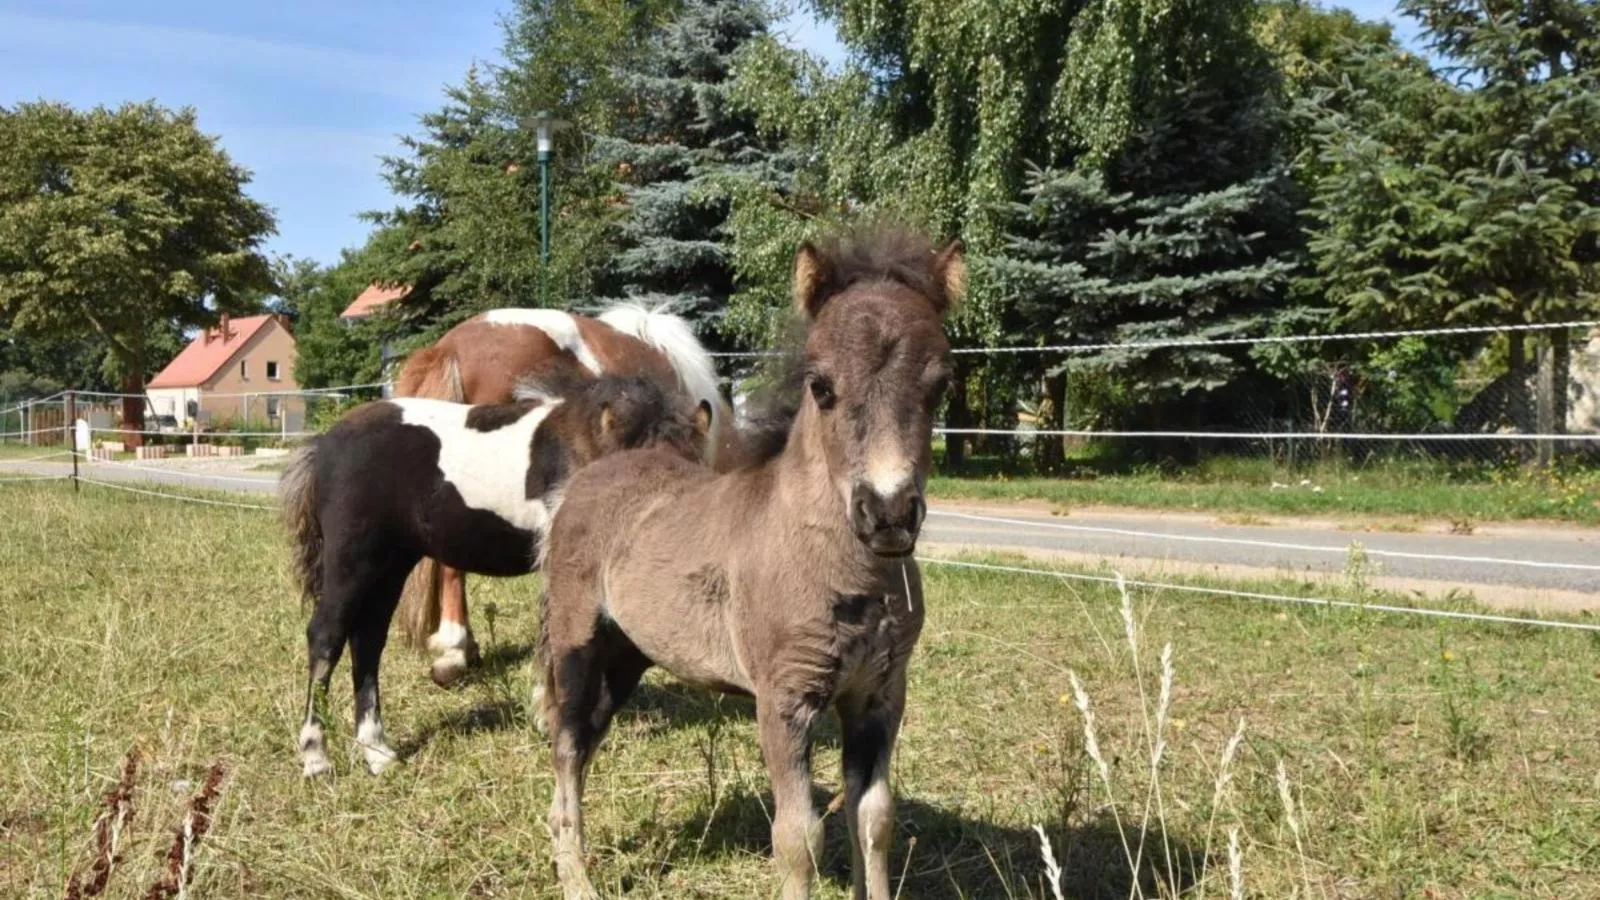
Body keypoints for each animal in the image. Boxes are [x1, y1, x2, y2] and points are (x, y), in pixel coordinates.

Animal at [283, 374, 713, 775]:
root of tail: (325, 444)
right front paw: (552, 718)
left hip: (390, 565)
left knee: (368, 641)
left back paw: (376, 751)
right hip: (352, 561)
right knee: (326, 638)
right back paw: (316, 756)